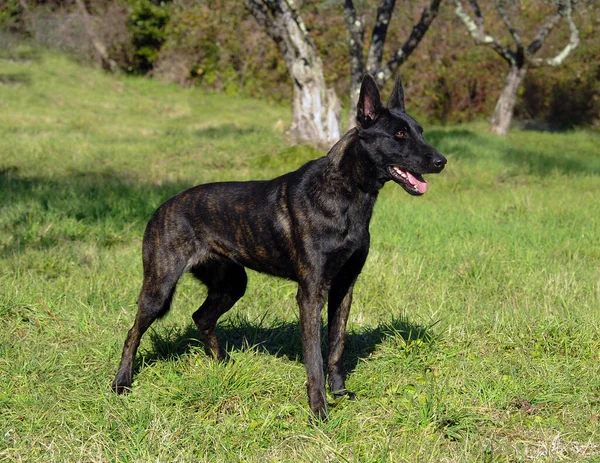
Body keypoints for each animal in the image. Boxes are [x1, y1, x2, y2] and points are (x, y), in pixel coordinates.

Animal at [111, 73, 446, 420]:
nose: (441, 161)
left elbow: (336, 347)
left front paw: (339, 393)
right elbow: (314, 358)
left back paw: (224, 364)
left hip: (232, 283)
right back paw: (121, 382)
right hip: (159, 287)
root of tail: (162, 207)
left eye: (420, 131)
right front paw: (319, 409)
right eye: (399, 134)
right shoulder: (311, 293)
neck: (348, 191)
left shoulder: (344, 288)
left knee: (201, 317)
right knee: (133, 332)